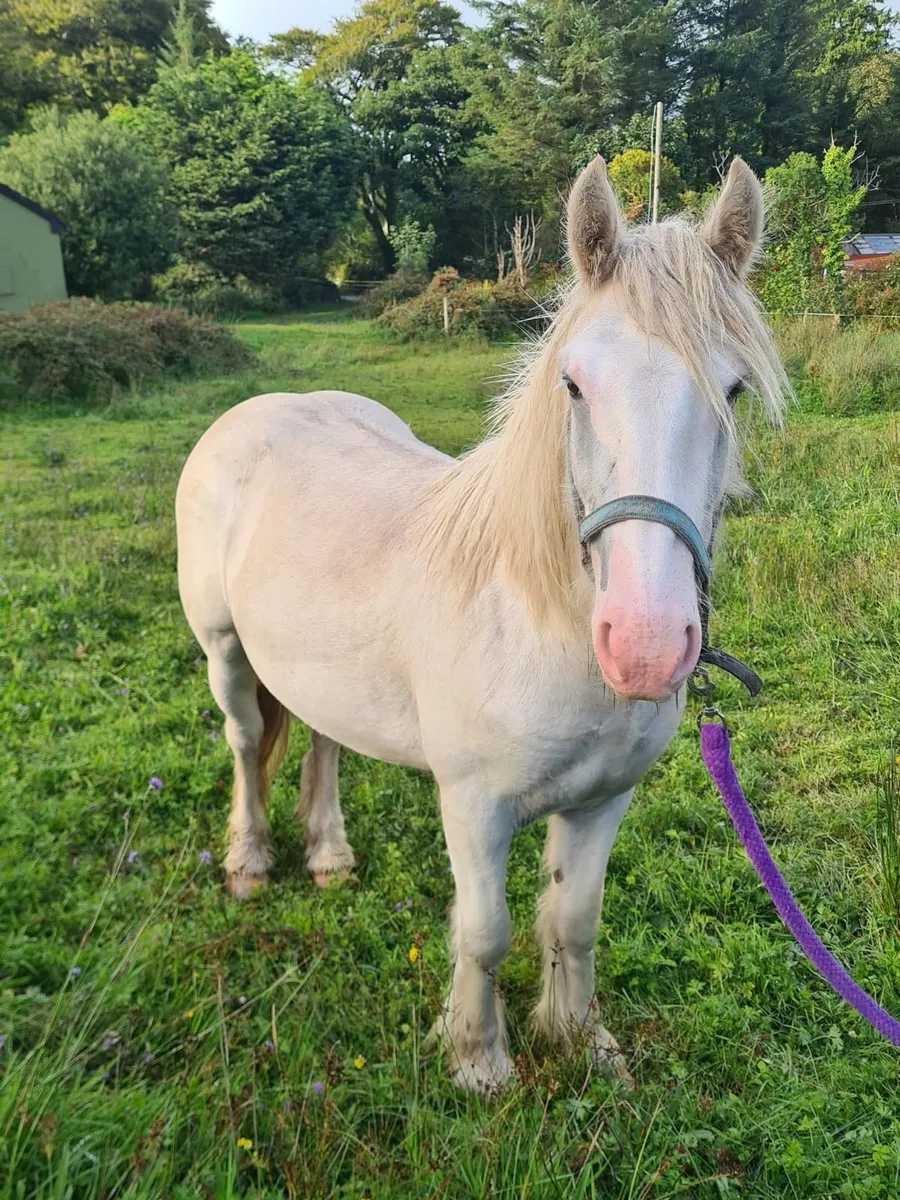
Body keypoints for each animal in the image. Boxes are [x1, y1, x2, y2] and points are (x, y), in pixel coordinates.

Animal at [175, 156, 787, 1094]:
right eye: (574, 384)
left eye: (734, 389)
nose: (645, 646)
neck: (537, 626)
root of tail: (258, 410)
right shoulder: (473, 808)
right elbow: (485, 930)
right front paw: (479, 1060)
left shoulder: (603, 802)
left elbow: (574, 920)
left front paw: (582, 1041)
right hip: (224, 651)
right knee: (246, 742)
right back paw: (249, 862)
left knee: (320, 738)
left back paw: (329, 856)